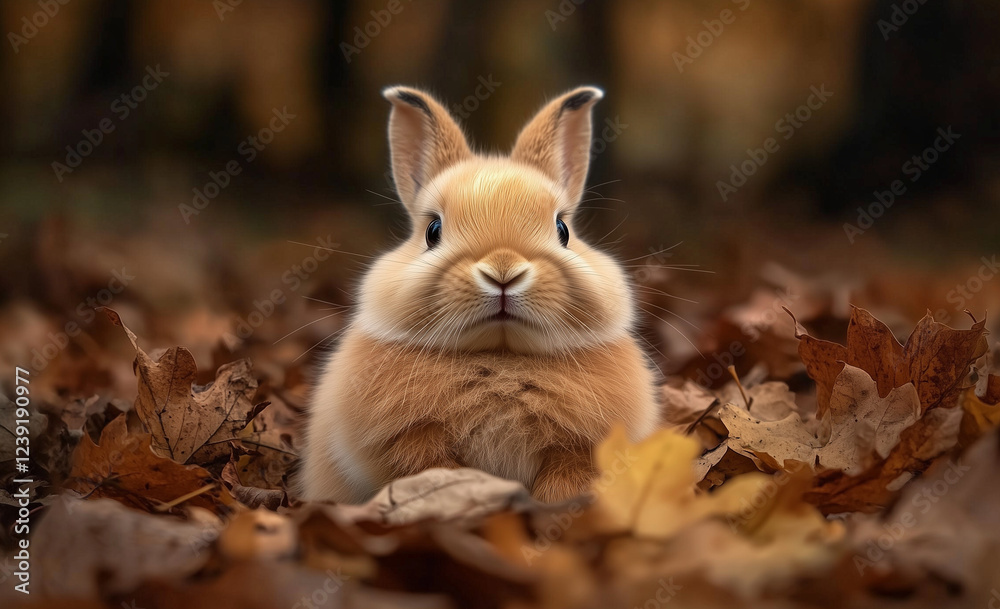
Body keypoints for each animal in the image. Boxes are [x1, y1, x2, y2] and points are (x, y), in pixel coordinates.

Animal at [297, 85, 659, 504]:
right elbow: (432, 472)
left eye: (563, 230)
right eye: (433, 231)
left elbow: (567, 479)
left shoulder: (579, 449)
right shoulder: (409, 442)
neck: (499, 358)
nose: (503, 270)